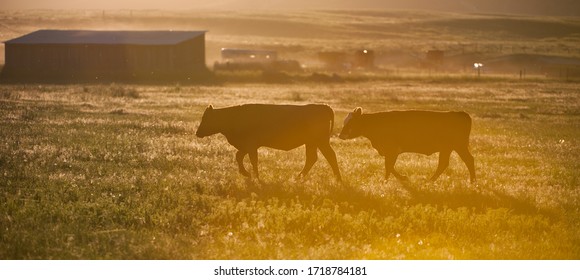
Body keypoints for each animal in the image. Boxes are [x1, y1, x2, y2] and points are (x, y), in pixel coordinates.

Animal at [196, 104, 340, 180]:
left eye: (206, 118)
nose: (197, 133)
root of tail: (322, 106)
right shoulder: (248, 146)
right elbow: (239, 156)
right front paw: (246, 173)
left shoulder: (251, 146)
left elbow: (253, 160)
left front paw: (256, 177)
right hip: (311, 143)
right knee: (312, 158)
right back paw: (299, 177)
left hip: (320, 141)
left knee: (330, 156)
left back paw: (337, 178)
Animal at [340, 106, 476, 183]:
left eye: (351, 123)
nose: (340, 135)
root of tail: (459, 113)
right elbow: (390, 166)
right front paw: (400, 178)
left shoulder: (392, 150)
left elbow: (388, 166)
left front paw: (386, 181)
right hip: (448, 148)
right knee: (444, 164)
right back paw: (431, 181)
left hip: (458, 145)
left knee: (468, 160)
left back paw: (472, 182)